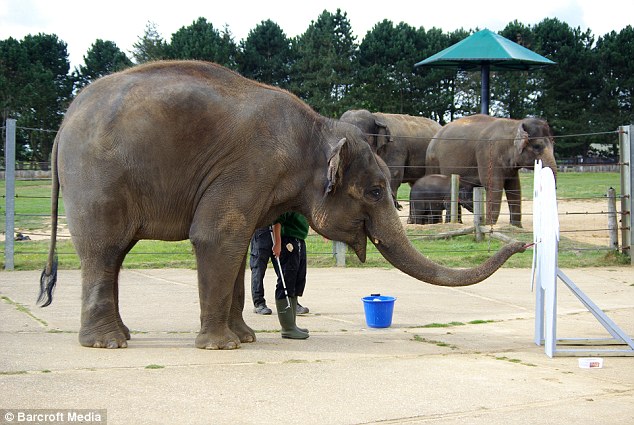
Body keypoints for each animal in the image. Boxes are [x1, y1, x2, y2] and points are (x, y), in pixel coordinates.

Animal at [38, 60, 524, 352]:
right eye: (374, 191)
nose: (522, 246)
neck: (319, 129)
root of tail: (63, 124)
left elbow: (234, 250)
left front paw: (247, 338)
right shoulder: (247, 169)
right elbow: (216, 238)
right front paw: (223, 347)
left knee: (113, 255)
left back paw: (119, 337)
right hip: (97, 183)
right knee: (104, 251)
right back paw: (108, 344)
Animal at [424, 112, 552, 225]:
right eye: (537, 147)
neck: (515, 124)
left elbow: (514, 187)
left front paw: (516, 227)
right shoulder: (488, 154)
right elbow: (493, 185)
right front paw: (489, 225)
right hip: (433, 161)